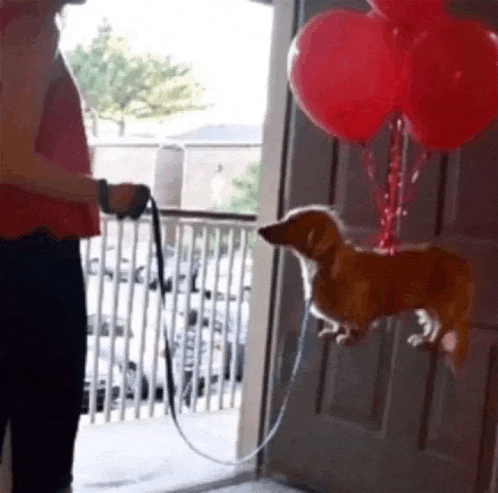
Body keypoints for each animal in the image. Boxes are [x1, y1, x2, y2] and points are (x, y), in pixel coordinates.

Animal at [258, 206, 472, 370]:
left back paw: (429, 342)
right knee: (433, 324)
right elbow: (338, 323)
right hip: (428, 306)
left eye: (292, 221)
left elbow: (357, 327)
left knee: (442, 327)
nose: (261, 229)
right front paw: (334, 331)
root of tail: (462, 263)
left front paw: (348, 338)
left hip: (442, 304)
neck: (322, 266)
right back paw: (423, 338)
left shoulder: (359, 310)